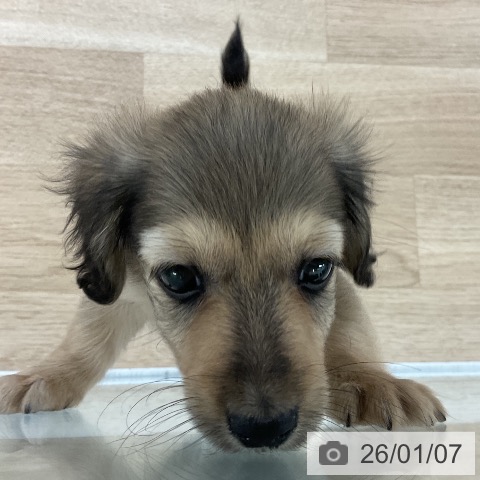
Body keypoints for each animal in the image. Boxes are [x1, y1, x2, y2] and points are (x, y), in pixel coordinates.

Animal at [0, 23, 446, 451]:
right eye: (178, 277)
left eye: (317, 269)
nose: (265, 428)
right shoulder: (124, 288)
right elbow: (86, 339)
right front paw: (49, 375)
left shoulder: (341, 282)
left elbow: (351, 330)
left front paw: (372, 381)